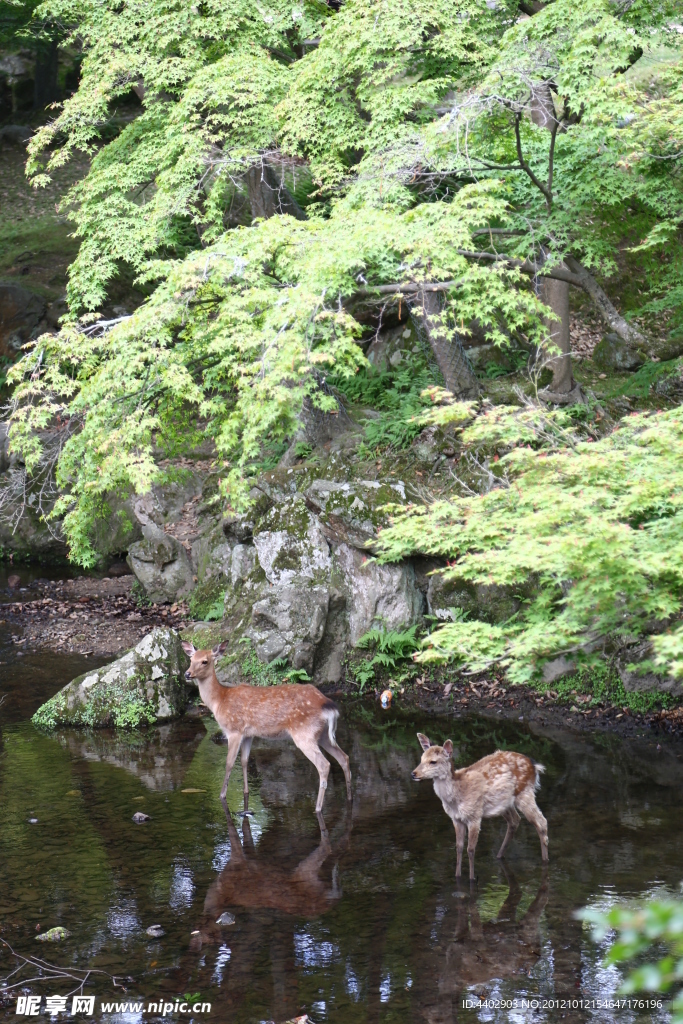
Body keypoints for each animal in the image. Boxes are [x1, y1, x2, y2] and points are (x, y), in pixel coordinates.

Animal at [181, 638, 352, 815]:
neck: (219, 701)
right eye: (190, 659)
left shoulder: (234, 730)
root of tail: (327, 705)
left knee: (324, 765)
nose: (187, 673)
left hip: (304, 733)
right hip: (322, 734)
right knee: (344, 757)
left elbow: (229, 764)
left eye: (204, 661)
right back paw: (349, 798)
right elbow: (244, 761)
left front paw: (222, 796)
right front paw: (246, 793)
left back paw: (318, 809)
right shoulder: (248, 734)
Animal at [411, 737, 548, 880]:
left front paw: (472, 878)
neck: (455, 799)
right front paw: (457, 876)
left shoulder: (475, 815)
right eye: (421, 759)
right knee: (515, 820)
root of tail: (534, 765)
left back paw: (545, 860)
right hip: (504, 804)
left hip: (525, 793)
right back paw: (499, 855)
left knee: (541, 822)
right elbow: (459, 847)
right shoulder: (456, 819)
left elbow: (471, 850)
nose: (413, 773)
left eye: (433, 761)